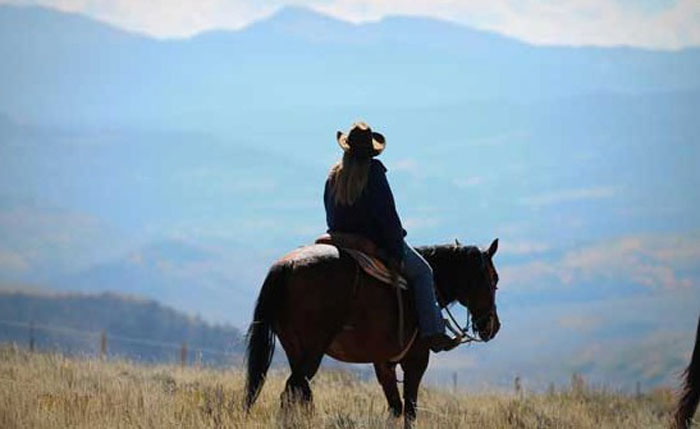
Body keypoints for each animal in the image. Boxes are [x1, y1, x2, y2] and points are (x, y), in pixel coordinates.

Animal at [243, 237, 500, 424]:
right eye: (494, 278)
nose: (493, 326)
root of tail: (286, 266)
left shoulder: (384, 363)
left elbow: (395, 408)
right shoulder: (416, 361)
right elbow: (410, 410)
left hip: (294, 349)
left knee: (300, 392)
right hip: (313, 350)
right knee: (291, 391)